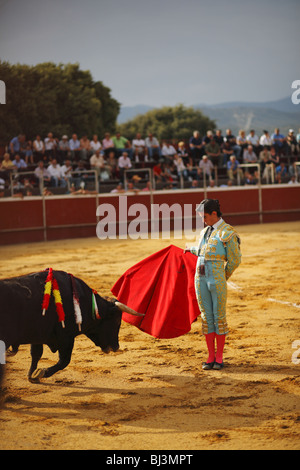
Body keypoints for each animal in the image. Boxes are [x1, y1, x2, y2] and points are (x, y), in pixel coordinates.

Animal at [0, 268, 141, 386]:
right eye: (117, 322)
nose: (116, 347)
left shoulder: (39, 335)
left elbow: (36, 354)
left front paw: (32, 375)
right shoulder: (66, 336)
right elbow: (64, 360)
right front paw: (42, 372)